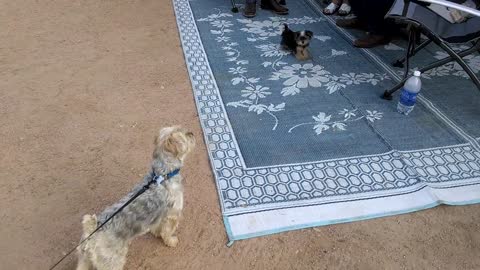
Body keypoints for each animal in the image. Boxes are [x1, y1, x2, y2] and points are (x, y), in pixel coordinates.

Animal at [76, 126, 194, 270]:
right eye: (184, 133)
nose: (192, 133)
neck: (164, 174)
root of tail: (91, 232)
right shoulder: (173, 215)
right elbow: (167, 232)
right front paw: (171, 241)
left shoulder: (161, 216)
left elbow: (158, 227)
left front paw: (156, 233)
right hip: (112, 262)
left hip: (84, 260)